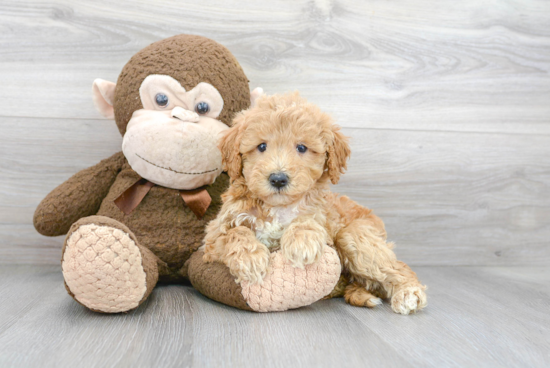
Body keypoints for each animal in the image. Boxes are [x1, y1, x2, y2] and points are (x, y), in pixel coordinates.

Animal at [205, 92, 430, 314]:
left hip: (355, 236)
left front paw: (301, 242)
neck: (279, 207)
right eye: (261, 146)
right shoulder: (213, 238)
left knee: (396, 265)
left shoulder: (322, 217)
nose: (278, 179)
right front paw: (250, 260)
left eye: (301, 147)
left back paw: (408, 293)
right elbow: (234, 232)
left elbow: (307, 220)